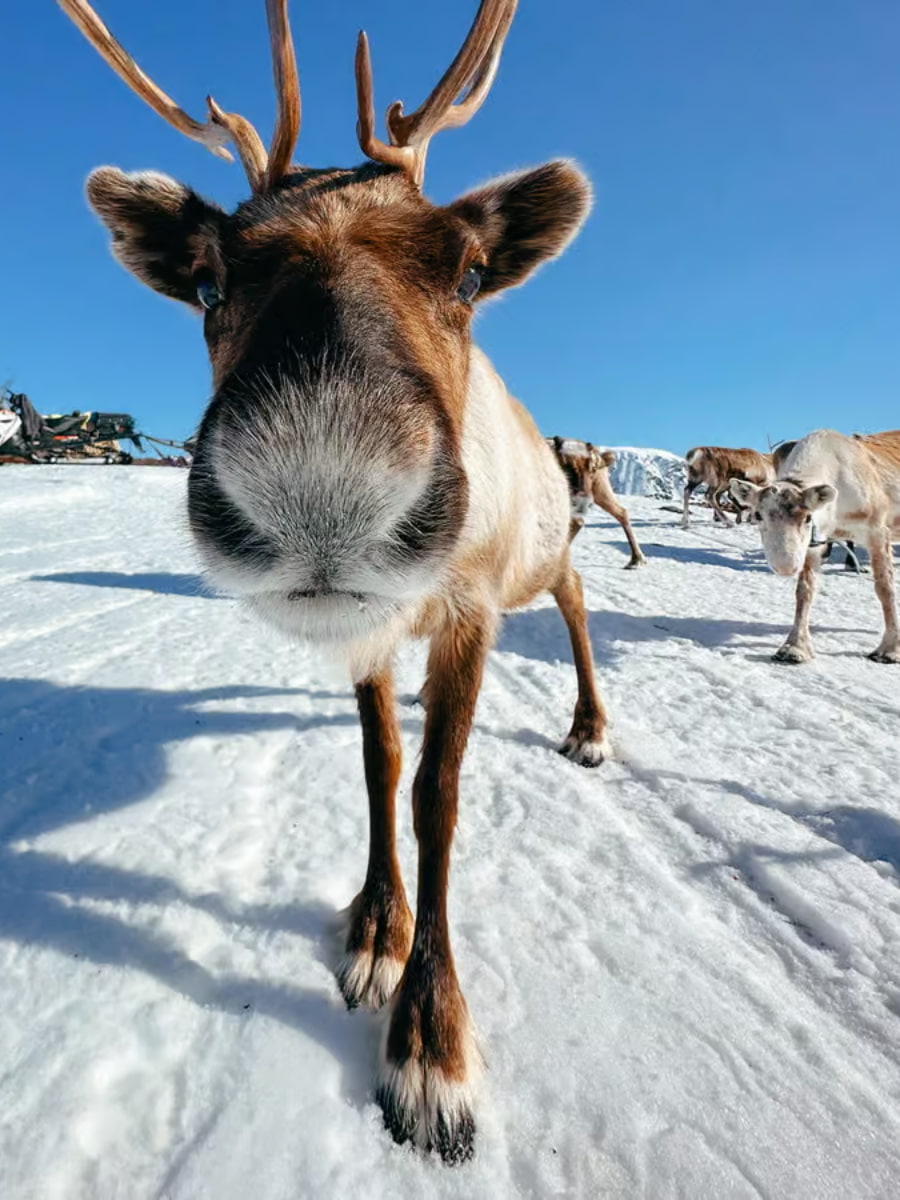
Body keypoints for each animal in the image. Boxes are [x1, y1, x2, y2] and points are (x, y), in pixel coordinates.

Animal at [58, 0, 608, 1164]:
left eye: (471, 273)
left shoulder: (466, 608)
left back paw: (591, 727)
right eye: (208, 281)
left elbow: (438, 793)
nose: (320, 482)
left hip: (538, 553)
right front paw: (373, 929)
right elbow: (379, 764)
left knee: (579, 594)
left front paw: (430, 1043)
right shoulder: (369, 635)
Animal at [730, 429, 900, 664]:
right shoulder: (814, 544)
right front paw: (794, 647)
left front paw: (890, 649)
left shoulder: (877, 531)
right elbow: (804, 590)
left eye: (808, 517)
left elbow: (885, 588)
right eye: (757, 515)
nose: (786, 566)